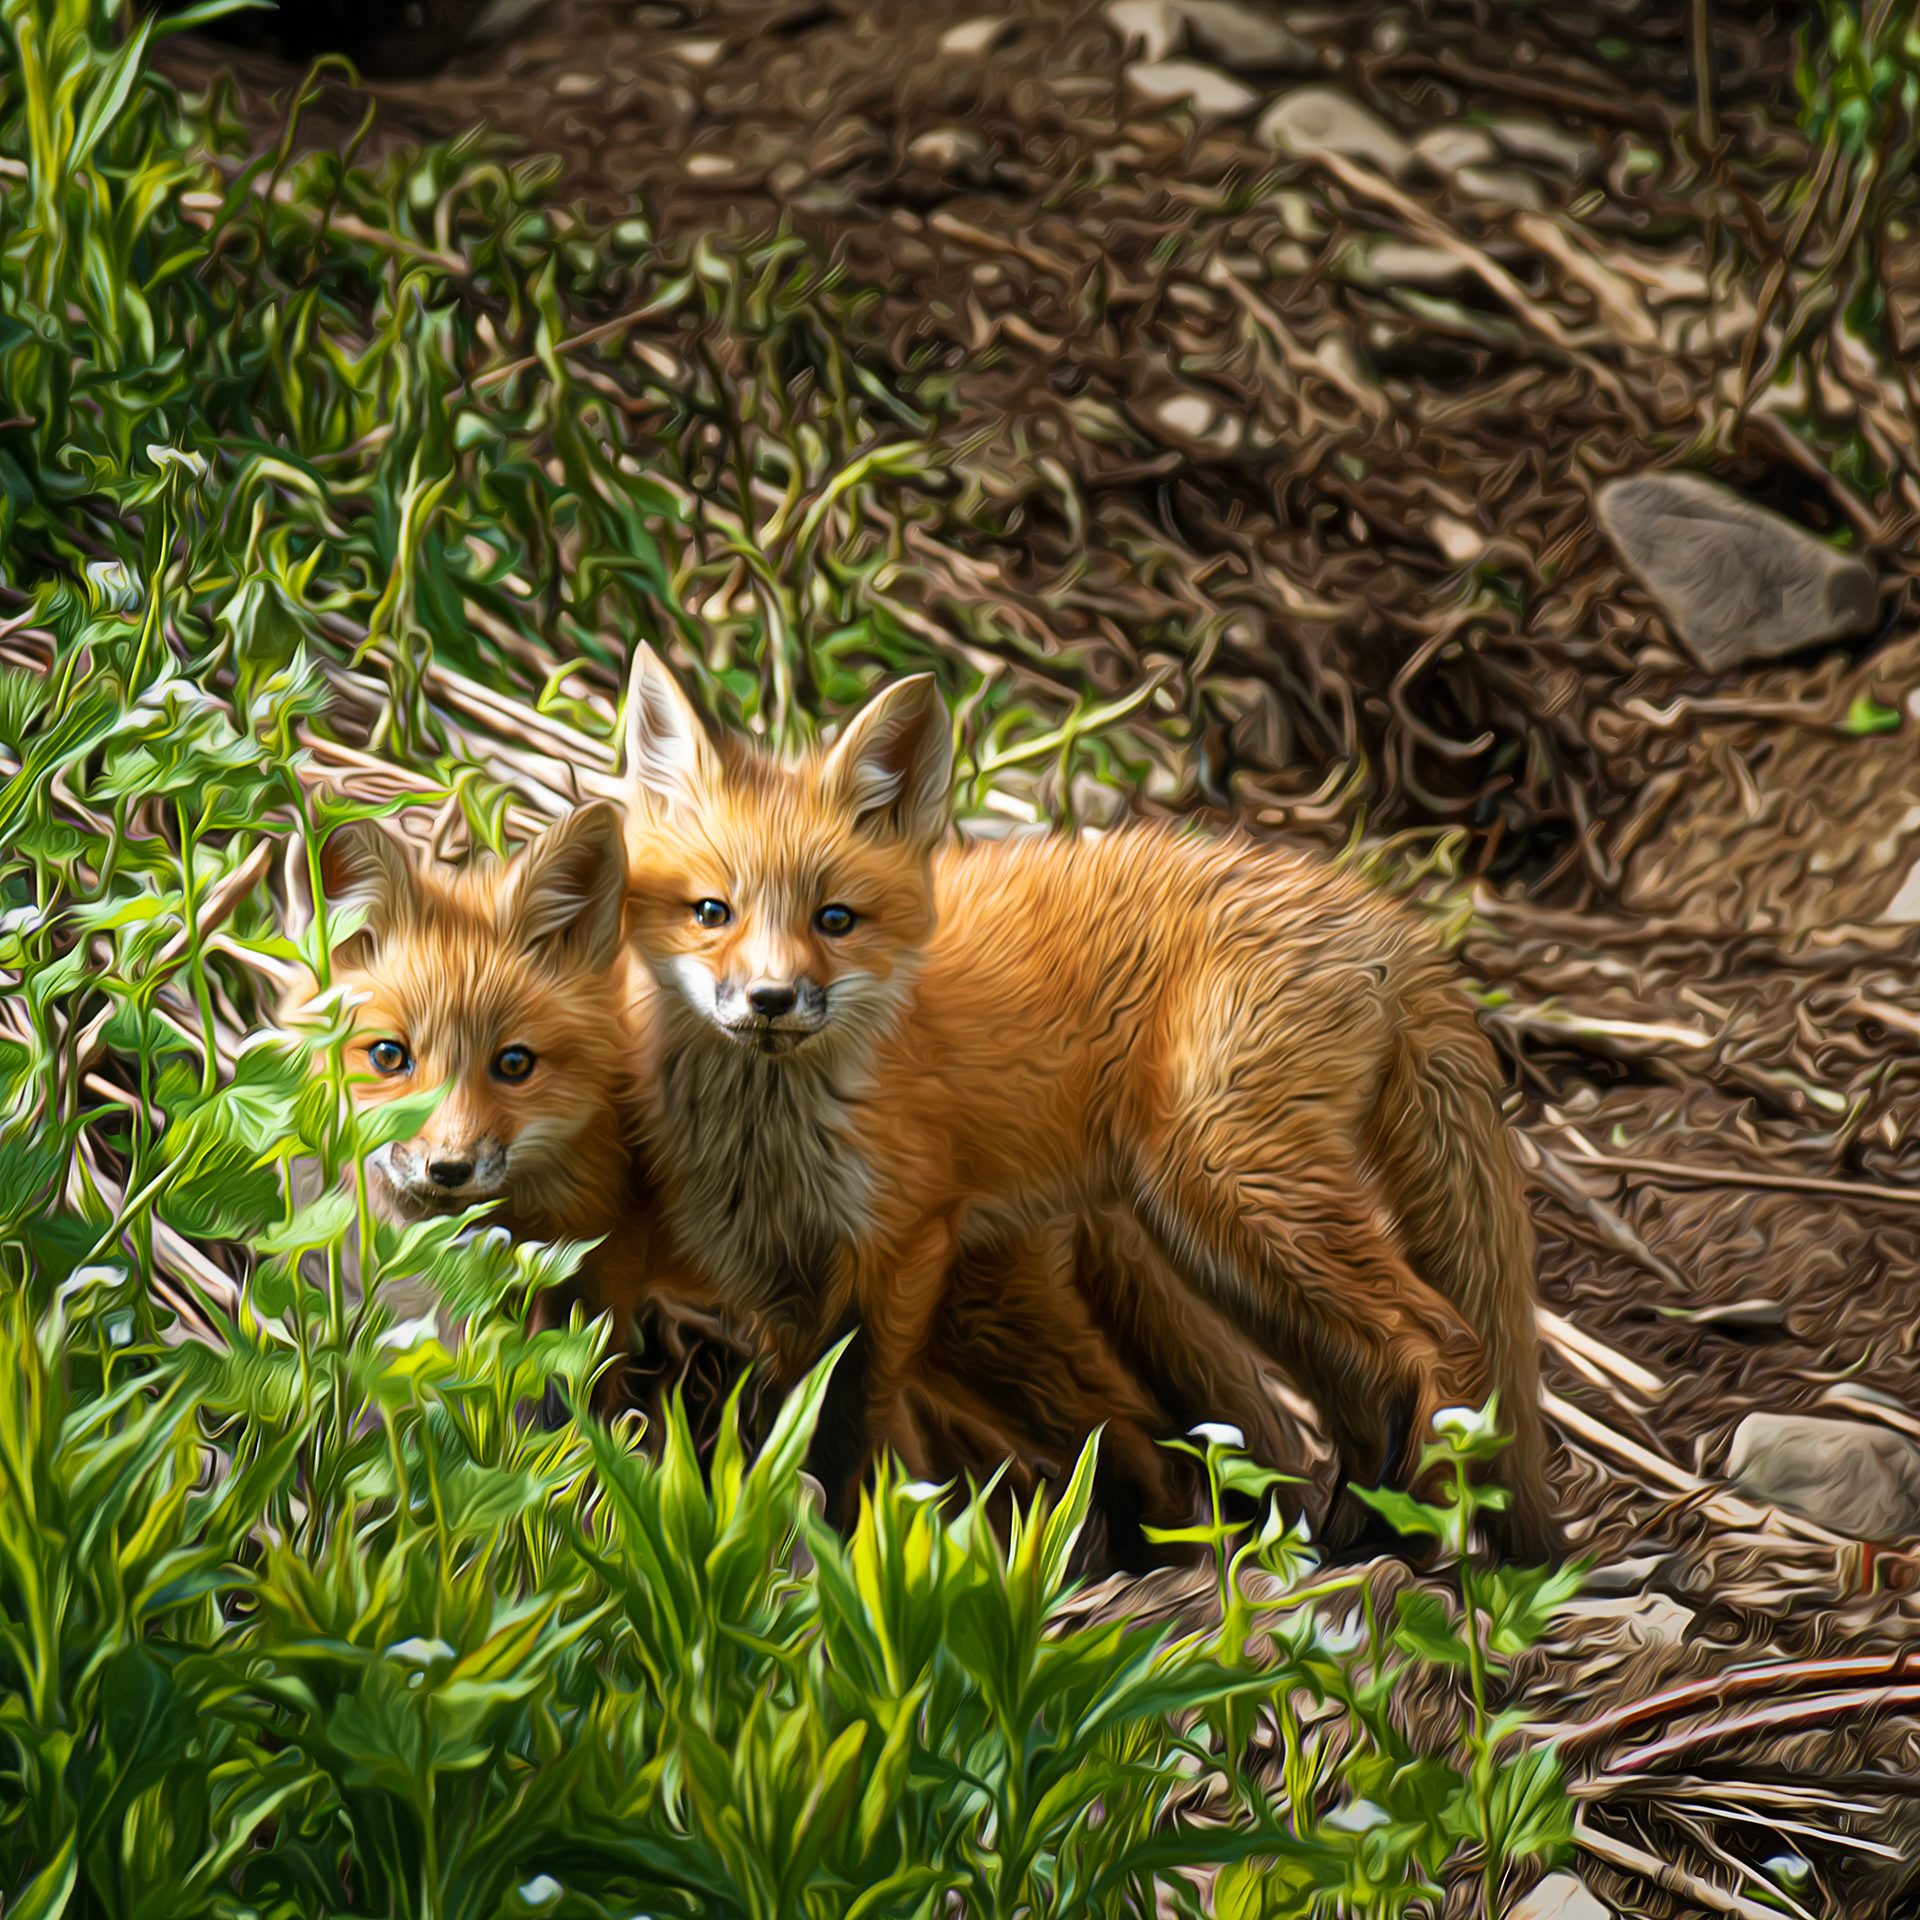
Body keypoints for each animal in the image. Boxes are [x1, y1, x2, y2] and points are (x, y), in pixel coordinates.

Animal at [294, 801, 1220, 1550]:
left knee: (1137, 1438)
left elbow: (572, 1420)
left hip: (992, 1343)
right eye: (389, 1057)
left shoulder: (598, 1290)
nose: (447, 1167)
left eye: (513, 1064)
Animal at [618, 644, 1560, 1562]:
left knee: (1440, 1341)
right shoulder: (775, 1280)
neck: (771, 1145)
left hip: (1230, 1191)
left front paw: (851, 1553)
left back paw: (1408, 1531)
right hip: (1219, 1247)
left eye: (836, 919)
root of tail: (1384, 914)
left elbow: (849, 1432)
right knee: (1347, 1390)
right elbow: (803, 1426)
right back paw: (1338, 1535)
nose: (771, 1000)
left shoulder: (904, 1248)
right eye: (712, 911)